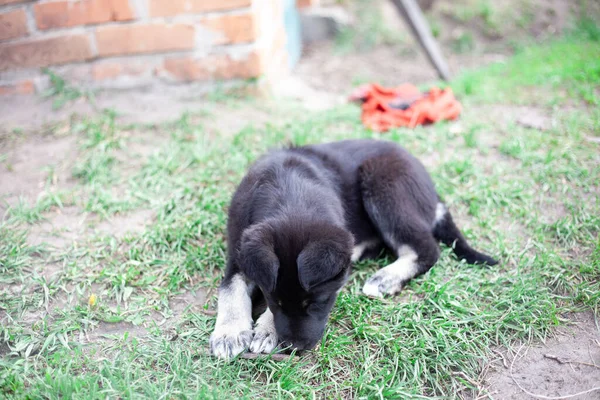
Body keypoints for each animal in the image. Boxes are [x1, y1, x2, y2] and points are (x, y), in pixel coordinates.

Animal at [211, 138, 496, 360]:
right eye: (274, 300)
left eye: (318, 302)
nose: (294, 348)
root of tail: (433, 194)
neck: (289, 191)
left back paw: (385, 278)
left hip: (384, 185)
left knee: (426, 249)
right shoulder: (240, 253)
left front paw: (265, 329)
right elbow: (230, 289)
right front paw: (230, 332)